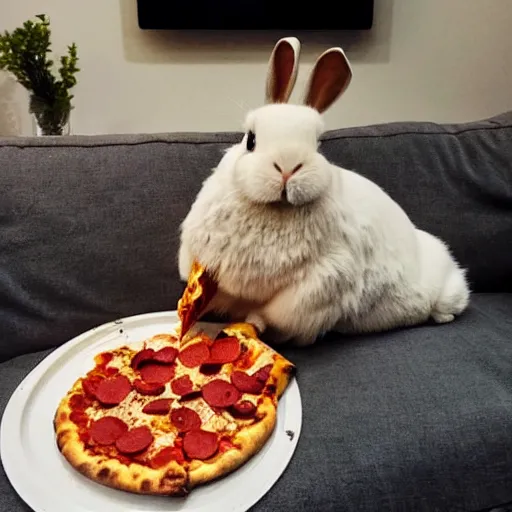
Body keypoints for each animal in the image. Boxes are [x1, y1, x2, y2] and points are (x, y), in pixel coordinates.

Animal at [178, 38, 470, 346]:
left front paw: (252, 326)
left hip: (447, 292)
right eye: (251, 140)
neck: (275, 208)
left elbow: (272, 315)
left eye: (317, 143)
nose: (287, 167)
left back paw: (441, 316)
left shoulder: (320, 284)